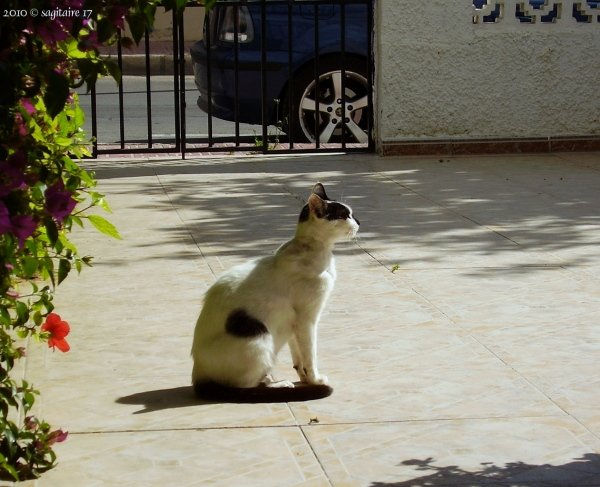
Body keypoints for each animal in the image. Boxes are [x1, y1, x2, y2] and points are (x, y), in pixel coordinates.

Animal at [192, 183, 358, 404]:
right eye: (344, 215)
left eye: (351, 214)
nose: (359, 222)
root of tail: (197, 375)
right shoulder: (307, 320)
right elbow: (310, 354)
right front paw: (315, 380)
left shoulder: (293, 324)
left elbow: (298, 356)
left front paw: (304, 378)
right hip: (260, 339)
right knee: (246, 387)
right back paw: (279, 384)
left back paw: (274, 379)